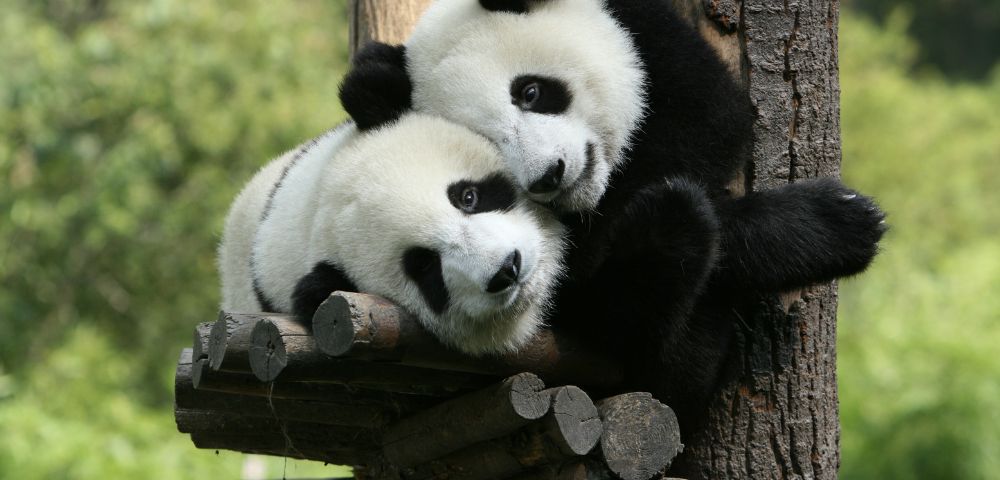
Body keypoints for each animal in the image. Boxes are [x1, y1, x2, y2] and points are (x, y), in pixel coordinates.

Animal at [339, 0, 886, 432]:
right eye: (488, 142)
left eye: (530, 92)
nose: (550, 175)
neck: (597, 195)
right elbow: (595, 293)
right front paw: (837, 224)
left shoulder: (653, 46)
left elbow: (711, 119)